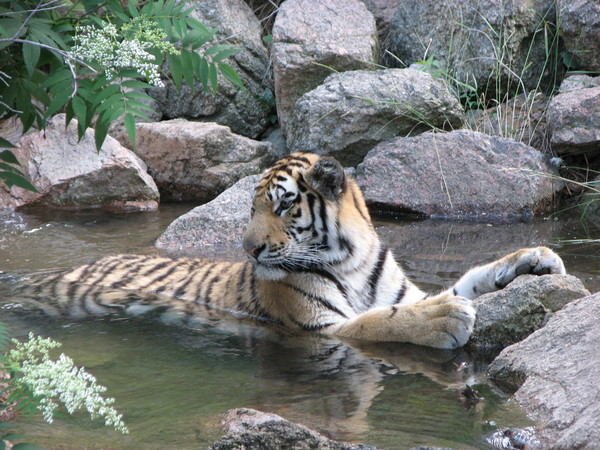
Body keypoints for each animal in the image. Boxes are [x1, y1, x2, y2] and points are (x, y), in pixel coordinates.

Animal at [7, 153, 564, 350]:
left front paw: (535, 258)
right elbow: (382, 321)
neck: (353, 261)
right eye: (250, 209)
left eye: (281, 205)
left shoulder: (402, 289)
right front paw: (445, 319)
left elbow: (469, 277)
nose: (248, 248)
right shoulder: (320, 327)